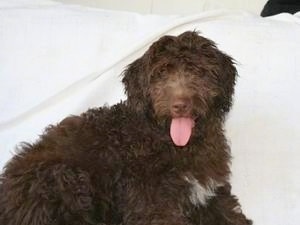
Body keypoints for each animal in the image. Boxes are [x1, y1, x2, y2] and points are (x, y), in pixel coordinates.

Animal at [0, 31, 252, 225]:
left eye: (199, 71)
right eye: (161, 73)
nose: (180, 105)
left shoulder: (212, 193)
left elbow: (231, 214)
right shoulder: (153, 204)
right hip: (64, 178)